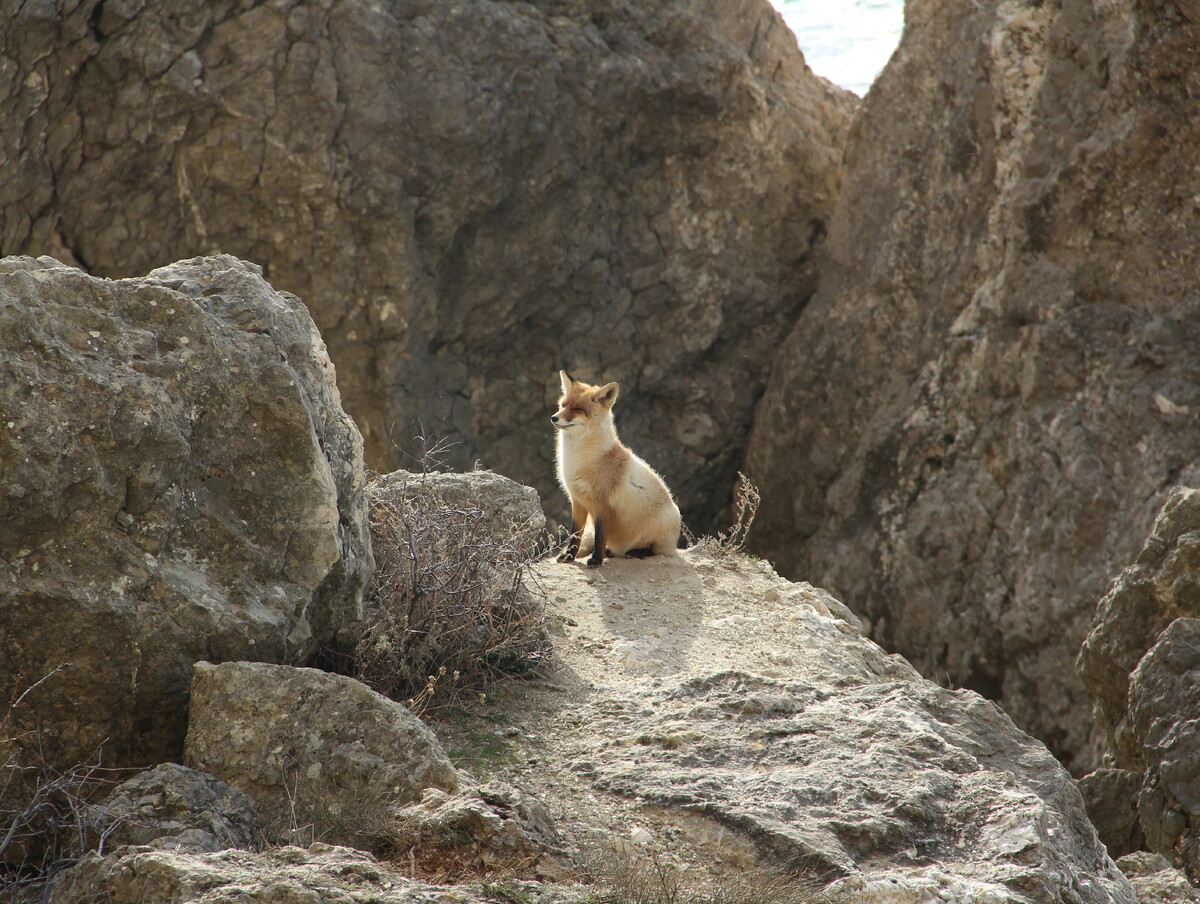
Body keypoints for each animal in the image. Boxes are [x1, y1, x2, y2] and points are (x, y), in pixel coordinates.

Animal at [549, 367, 681, 564]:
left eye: (578, 409)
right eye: (563, 405)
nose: (553, 418)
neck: (582, 459)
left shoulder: (602, 503)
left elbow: (600, 535)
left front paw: (596, 560)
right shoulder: (577, 499)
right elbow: (576, 534)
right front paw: (569, 556)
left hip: (664, 528)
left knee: (656, 551)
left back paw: (635, 552)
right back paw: (612, 552)